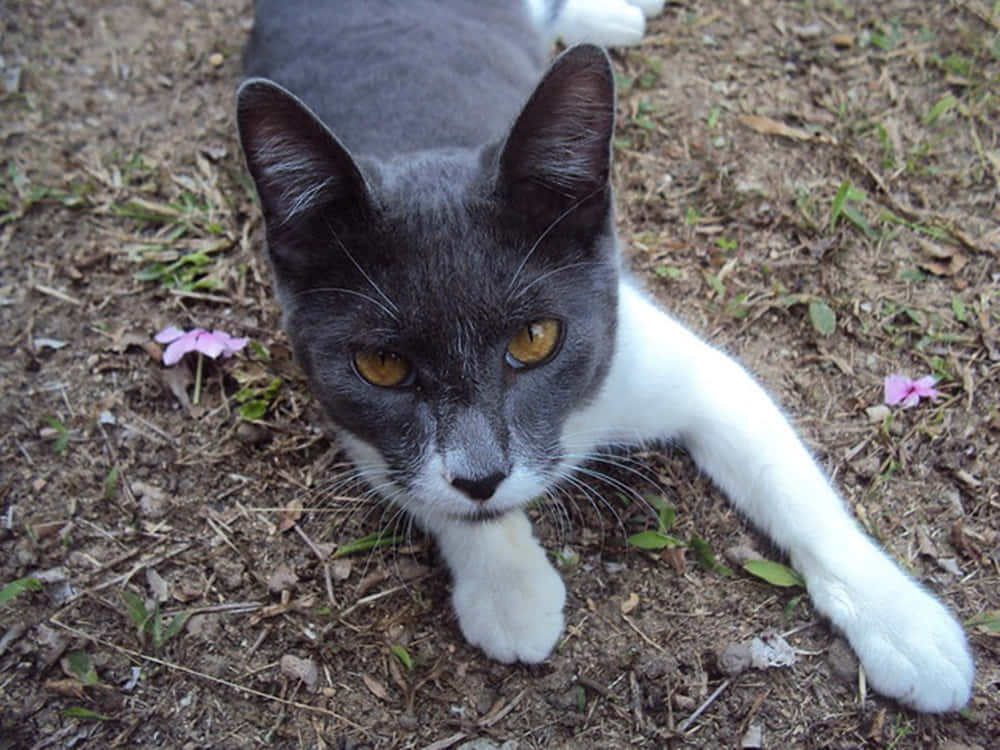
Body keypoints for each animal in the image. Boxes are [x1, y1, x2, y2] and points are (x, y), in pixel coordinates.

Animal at [234, 0, 968, 712]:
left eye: (534, 340)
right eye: (382, 365)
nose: (481, 474)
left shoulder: (668, 359)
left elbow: (794, 487)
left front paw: (907, 627)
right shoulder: (342, 404)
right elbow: (418, 485)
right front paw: (510, 589)